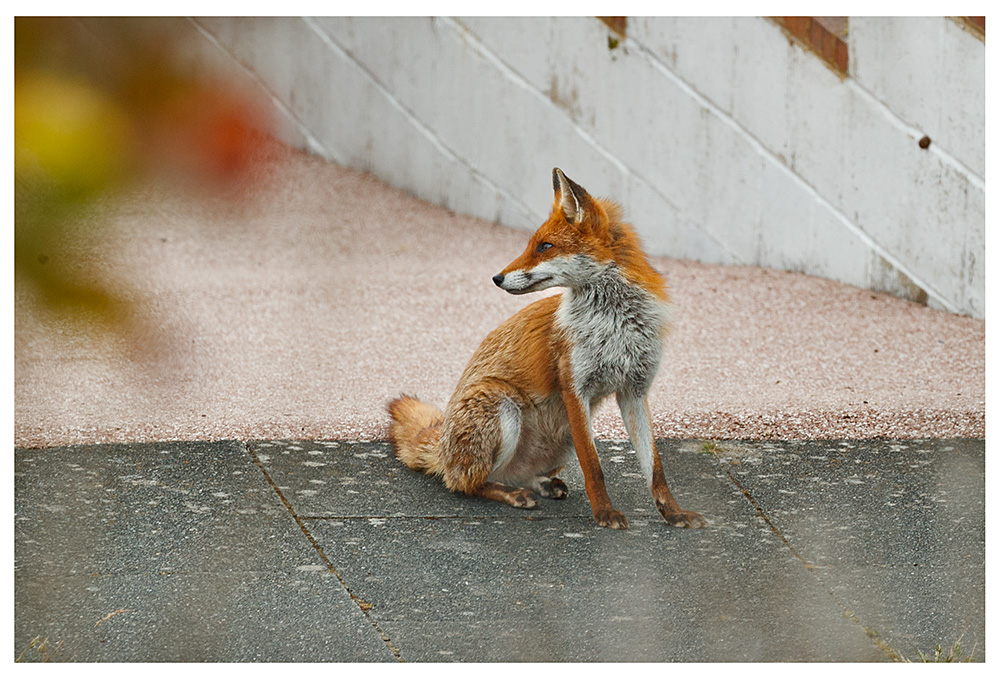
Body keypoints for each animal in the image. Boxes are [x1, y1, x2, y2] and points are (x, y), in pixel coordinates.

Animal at [387, 168, 706, 530]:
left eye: (545, 246)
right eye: (532, 245)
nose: (497, 278)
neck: (615, 323)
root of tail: (442, 447)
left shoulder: (634, 391)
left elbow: (656, 471)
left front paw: (673, 513)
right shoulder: (575, 387)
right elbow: (594, 468)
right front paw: (605, 514)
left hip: (562, 434)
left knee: (516, 476)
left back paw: (541, 484)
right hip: (502, 406)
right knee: (468, 483)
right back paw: (511, 494)